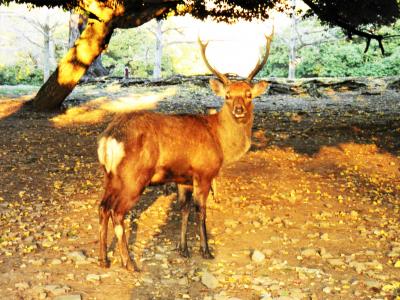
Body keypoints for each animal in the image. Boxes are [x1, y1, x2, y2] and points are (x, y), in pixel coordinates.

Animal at [95, 30, 274, 272]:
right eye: (227, 95)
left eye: (248, 94)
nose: (238, 110)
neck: (219, 140)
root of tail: (109, 137)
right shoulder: (204, 173)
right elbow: (201, 211)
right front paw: (206, 250)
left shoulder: (183, 178)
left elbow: (184, 209)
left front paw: (183, 249)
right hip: (133, 177)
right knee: (117, 212)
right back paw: (129, 263)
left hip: (110, 175)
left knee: (103, 207)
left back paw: (103, 259)